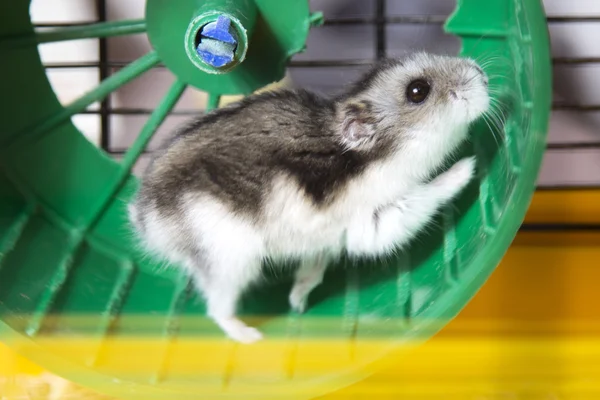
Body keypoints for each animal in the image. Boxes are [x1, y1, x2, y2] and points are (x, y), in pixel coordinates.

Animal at [129, 50, 490, 344]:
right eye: (418, 91)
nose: (484, 77)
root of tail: (143, 217)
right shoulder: (375, 222)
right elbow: (427, 194)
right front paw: (469, 166)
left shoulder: (325, 243)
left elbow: (313, 271)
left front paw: (297, 302)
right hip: (229, 259)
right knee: (218, 309)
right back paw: (251, 336)